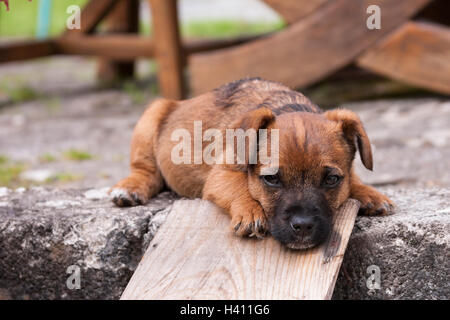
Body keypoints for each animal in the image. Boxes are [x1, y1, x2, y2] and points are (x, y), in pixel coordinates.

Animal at [111, 77, 394, 250]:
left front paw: (369, 193)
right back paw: (130, 188)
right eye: (271, 179)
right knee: (146, 170)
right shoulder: (221, 175)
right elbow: (239, 187)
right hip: (150, 118)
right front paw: (250, 212)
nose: (303, 226)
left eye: (332, 180)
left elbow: (354, 177)